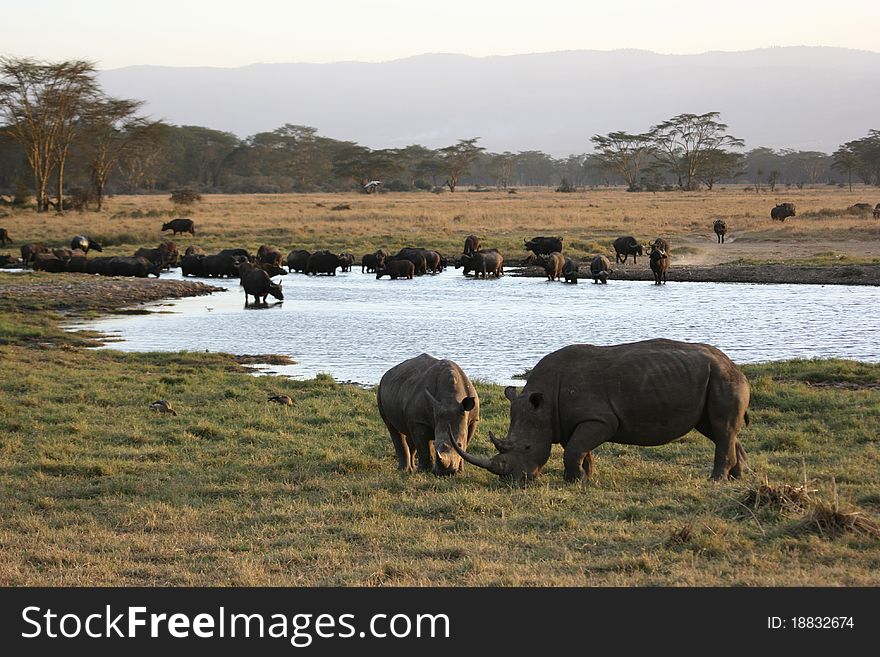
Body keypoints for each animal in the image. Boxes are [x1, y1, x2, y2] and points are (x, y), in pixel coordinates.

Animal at [454, 338, 748, 482]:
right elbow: (580, 450)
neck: (544, 403)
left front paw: (572, 481)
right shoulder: (576, 420)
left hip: (723, 378)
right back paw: (735, 477)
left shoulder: (599, 420)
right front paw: (587, 477)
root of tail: (734, 365)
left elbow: (574, 449)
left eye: (527, 447)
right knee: (718, 429)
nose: (511, 480)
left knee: (721, 429)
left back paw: (715, 480)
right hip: (713, 378)